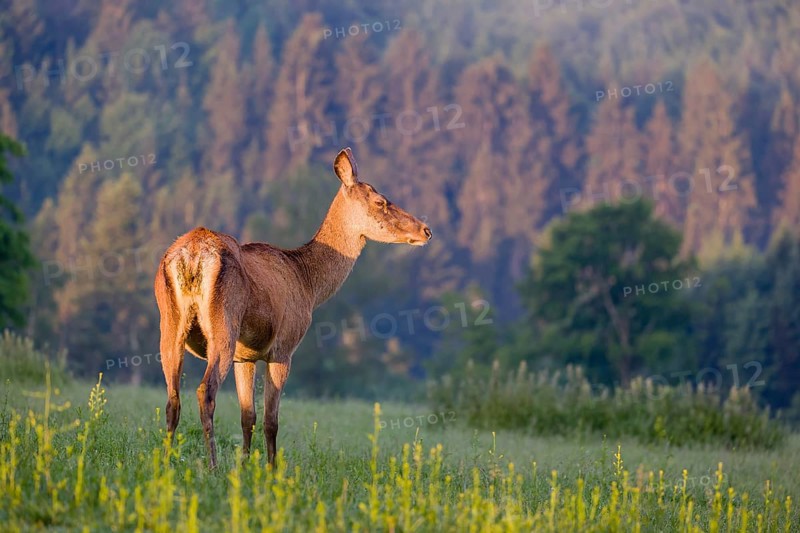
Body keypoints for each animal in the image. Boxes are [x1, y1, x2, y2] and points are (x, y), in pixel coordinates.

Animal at [154, 148, 432, 468]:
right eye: (380, 201)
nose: (426, 230)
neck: (308, 283)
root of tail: (191, 255)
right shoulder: (283, 348)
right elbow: (271, 421)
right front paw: (272, 469)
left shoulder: (245, 356)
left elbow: (247, 416)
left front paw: (245, 466)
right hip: (222, 324)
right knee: (205, 391)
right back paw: (212, 465)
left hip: (169, 324)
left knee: (172, 398)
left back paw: (165, 462)